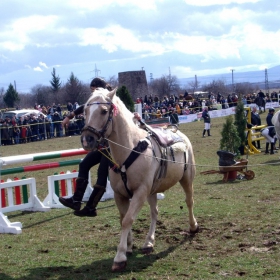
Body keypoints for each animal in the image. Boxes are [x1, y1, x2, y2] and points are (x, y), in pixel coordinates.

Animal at [80, 88, 199, 272]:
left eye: (104, 111)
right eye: (85, 111)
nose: (87, 139)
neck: (129, 150)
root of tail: (176, 131)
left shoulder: (140, 193)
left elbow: (128, 219)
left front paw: (120, 257)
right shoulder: (120, 195)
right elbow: (123, 219)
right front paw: (128, 246)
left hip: (186, 179)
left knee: (189, 201)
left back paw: (193, 226)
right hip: (152, 191)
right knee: (154, 212)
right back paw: (149, 242)